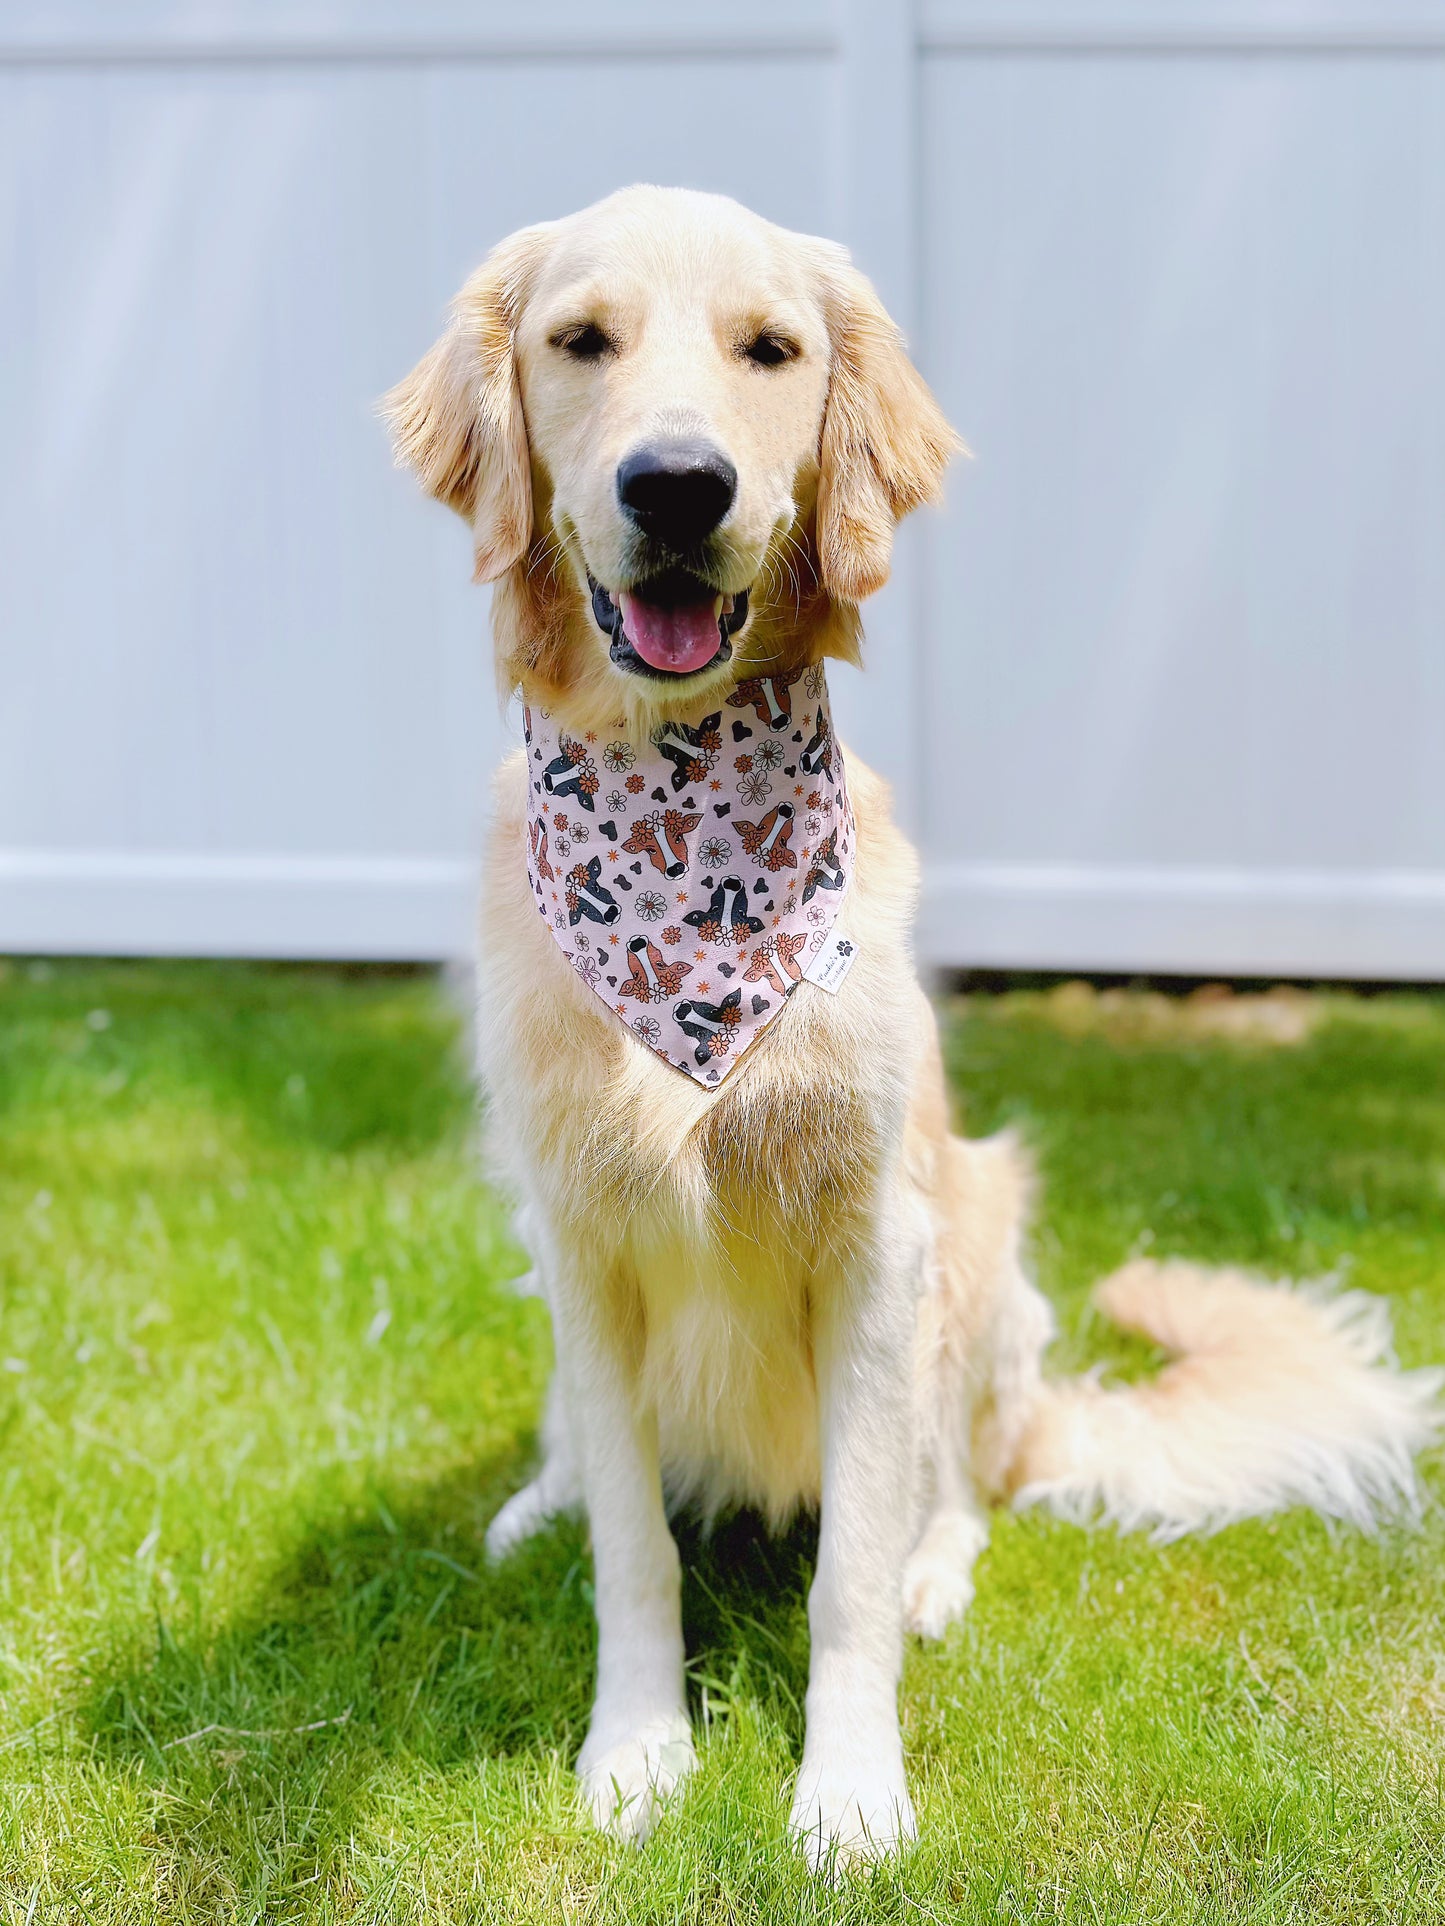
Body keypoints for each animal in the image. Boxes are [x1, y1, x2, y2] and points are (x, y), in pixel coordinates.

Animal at [387, 183, 1445, 1864]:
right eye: (580, 340)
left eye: (769, 349)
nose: (677, 486)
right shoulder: (585, 1236)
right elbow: (634, 1544)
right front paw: (636, 1749)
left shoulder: (874, 1240)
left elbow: (851, 1575)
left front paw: (848, 1787)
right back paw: (531, 1501)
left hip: (987, 1249)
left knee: (962, 1481)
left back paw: (941, 1565)